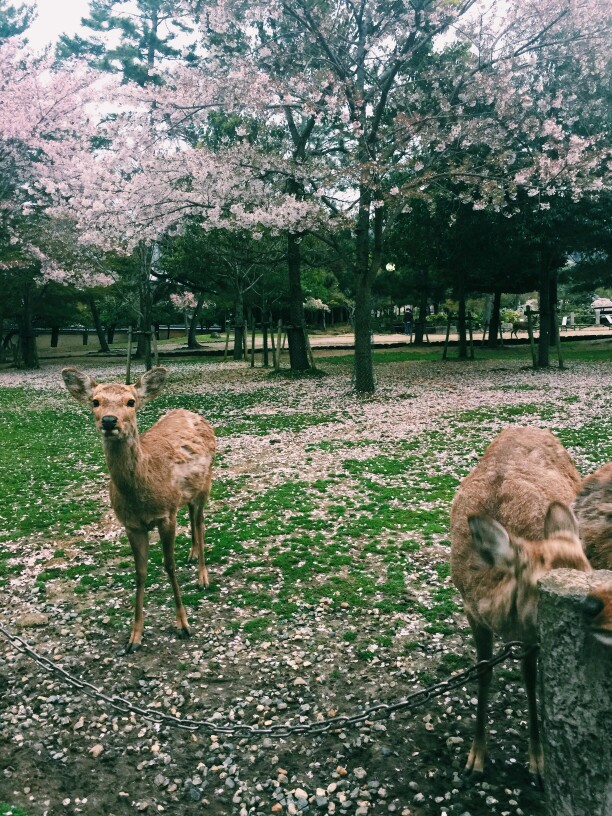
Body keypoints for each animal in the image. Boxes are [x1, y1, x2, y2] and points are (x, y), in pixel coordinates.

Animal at [62, 366, 215, 652]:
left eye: (131, 402)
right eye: (95, 402)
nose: (109, 421)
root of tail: (192, 413)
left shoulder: (166, 515)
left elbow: (169, 565)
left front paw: (183, 624)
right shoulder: (131, 525)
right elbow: (140, 573)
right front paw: (135, 636)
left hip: (206, 483)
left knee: (200, 521)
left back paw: (203, 577)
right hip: (189, 493)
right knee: (192, 516)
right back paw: (192, 555)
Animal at [450, 428, 592, 784]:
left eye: (592, 575)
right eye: (542, 587)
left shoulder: (532, 636)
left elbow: (529, 679)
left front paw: (538, 763)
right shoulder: (471, 609)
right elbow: (483, 672)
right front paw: (475, 758)